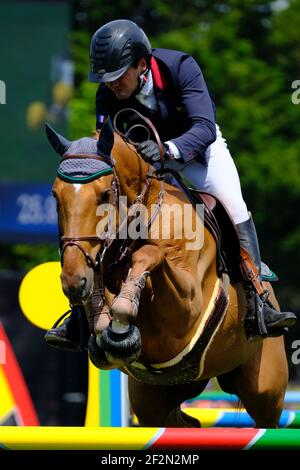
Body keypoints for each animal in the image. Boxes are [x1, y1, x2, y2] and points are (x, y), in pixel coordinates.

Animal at [46, 119, 288, 428]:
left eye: (104, 195)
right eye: (55, 195)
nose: (74, 281)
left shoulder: (188, 310)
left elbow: (150, 254)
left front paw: (122, 317)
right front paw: (107, 322)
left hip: (264, 390)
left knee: (265, 416)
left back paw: (268, 315)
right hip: (155, 398)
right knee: (185, 423)